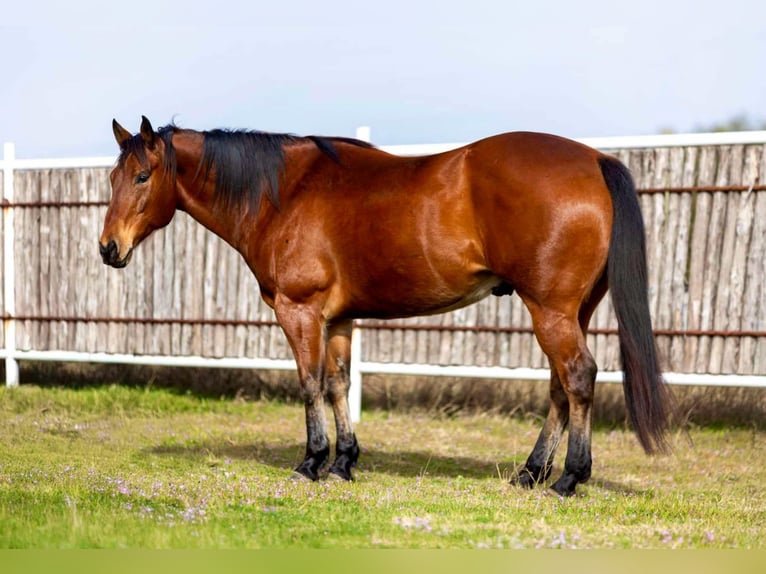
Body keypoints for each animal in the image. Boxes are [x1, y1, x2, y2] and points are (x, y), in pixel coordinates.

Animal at [99, 116, 672, 496]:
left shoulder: (299, 311)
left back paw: (569, 477)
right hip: (572, 312)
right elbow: (337, 384)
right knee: (559, 387)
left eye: (144, 176)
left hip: (550, 310)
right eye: (113, 178)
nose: (108, 248)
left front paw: (311, 462)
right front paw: (343, 462)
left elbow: (309, 383)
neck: (285, 193)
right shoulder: (338, 318)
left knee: (577, 377)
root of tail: (595, 160)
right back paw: (530, 473)